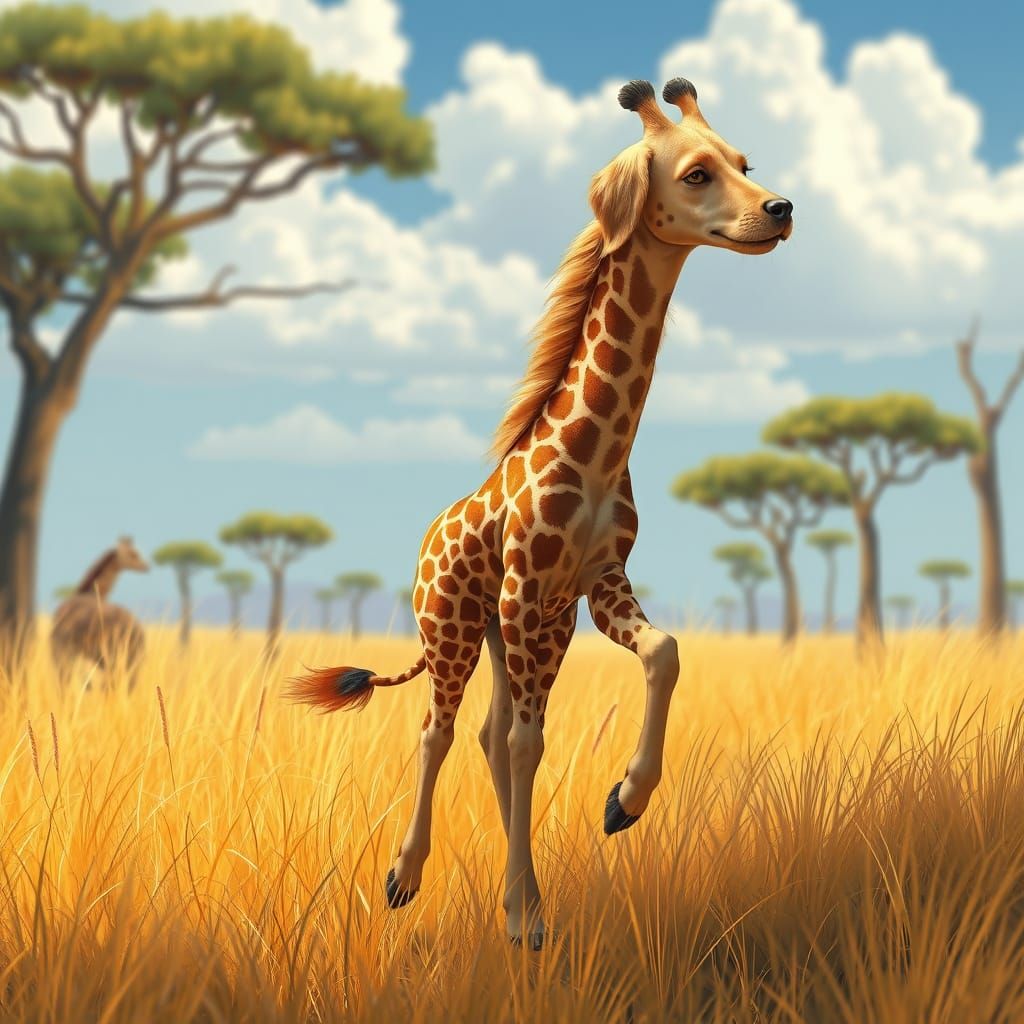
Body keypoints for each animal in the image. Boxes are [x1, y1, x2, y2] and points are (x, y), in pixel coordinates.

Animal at [290, 78, 794, 947]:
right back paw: (405, 878)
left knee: (493, 734)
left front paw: (623, 804)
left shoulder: (591, 584)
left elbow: (662, 656)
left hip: (519, 631)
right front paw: (523, 915)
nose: (780, 209)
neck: (596, 454)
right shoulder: (529, 586)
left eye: (744, 162)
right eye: (695, 175)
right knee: (442, 731)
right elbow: (527, 742)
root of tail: (425, 546)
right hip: (457, 623)